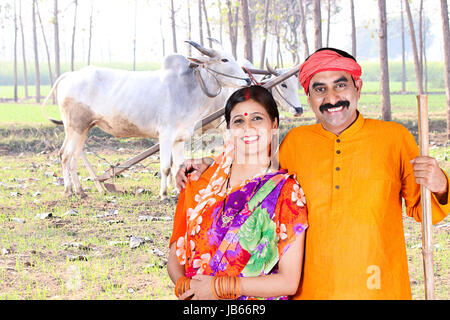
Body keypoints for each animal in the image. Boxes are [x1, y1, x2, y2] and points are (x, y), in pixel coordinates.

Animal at [41, 41, 250, 199]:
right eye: (224, 59)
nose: (248, 80)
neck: (187, 88)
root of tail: (70, 75)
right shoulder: (165, 134)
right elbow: (166, 167)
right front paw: (164, 195)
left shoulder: (180, 137)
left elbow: (179, 167)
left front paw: (179, 192)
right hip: (75, 127)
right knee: (65, 155)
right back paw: (69, 190)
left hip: (83, 129)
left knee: (73, 157)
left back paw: (80, 191)